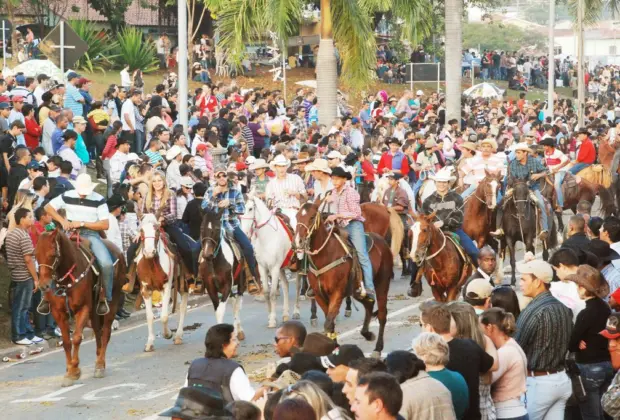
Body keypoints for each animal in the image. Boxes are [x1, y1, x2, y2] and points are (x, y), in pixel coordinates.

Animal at [35, 230, 125, 388]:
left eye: (53, 253)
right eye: (35, 254)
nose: (43, 285)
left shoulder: (82, 309)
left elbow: (76, 338)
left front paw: (74, 370)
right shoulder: (58, 313)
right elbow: (66, 342)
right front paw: (69, 370)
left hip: (112, 302)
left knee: (106, 332)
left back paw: (100, 365)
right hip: (95, 311)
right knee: (98, 332)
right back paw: (98, 360)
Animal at [137, 213, 189, 352]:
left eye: (156, 230)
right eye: (141, 230)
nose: (149, 252)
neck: (151, 263)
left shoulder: (166, 286)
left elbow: (164, 316)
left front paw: (168, 334)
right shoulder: (146, 290)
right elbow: (150, 316)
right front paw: (149, 343)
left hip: (180, 284)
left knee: (182, 306)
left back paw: (178, 335)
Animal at [200, 208, 246, 340]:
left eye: (216, 228)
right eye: (201, 228)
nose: (207, 254)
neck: (214, 262)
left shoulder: (227, 285)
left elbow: (221, 310)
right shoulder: (210, 287)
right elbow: (217, 311)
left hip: (241, 283)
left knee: (237, 304)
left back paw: (239, 331)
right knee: (234, 302)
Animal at [240, 195, 300, 330]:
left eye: (250, 208)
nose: (244, 232)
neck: (267, 237)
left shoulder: (274, 267)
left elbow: (272, 294)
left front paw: (272, 320)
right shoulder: (263, 267)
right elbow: (267, 293)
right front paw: (270, 316)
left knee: (299, 286)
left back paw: (296, 311)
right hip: (282, 267)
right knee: (286, 285)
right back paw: (285, 314)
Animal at [296, 199, 392, 356]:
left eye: (311, 217)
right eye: (297, 216)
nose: (298, 241)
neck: (325, 255)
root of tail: (382, 241)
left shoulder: (337, 293)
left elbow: (328, 323)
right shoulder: (319, 295)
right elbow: (330, 323)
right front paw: (333, 347)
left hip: (382, 285)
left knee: (382, 315)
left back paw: (378, 348)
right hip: (357, 291)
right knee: (369, 305)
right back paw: (367, 333)